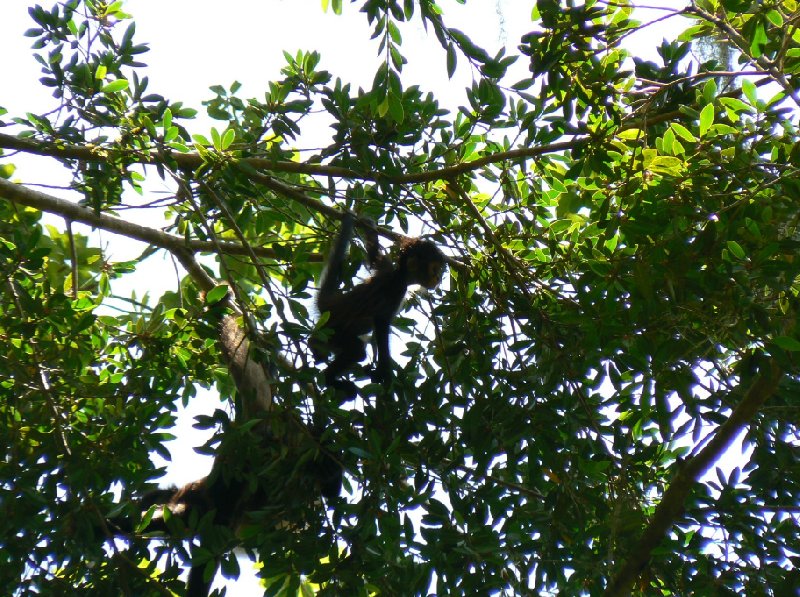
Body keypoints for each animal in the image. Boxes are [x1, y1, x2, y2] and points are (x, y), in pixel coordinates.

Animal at [314, 212, 446, 398]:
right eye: (434, 269)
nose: (438, 278)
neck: (399, 276)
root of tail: (330, 306)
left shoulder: (385, 267)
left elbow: (374, 254)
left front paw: (369, 224)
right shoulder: (395, 290)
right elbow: (381, 323)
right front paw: (384, 372)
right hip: (335, 332)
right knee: (357, 351)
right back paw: (330, 379)